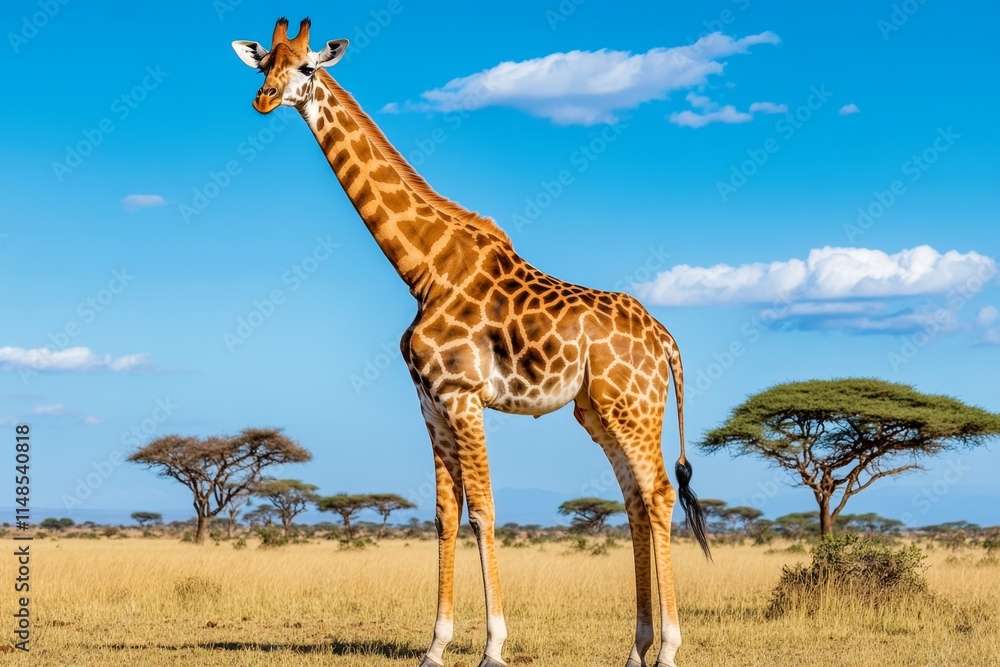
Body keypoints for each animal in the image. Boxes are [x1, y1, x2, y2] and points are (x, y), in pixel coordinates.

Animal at [232, 18, 711, 667]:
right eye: (264, 65)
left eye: (306, 67)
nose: (262, 100)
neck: (423, 271)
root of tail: (666, 341)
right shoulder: (430, 401)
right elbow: (444, 515)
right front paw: (435, 646)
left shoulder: (463, 394)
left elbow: (483, 511)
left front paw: (493, 646)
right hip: (598, 411)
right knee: (636, 499)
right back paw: (635, 650)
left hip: (631, 405)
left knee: (659, 493)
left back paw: (666, 649)